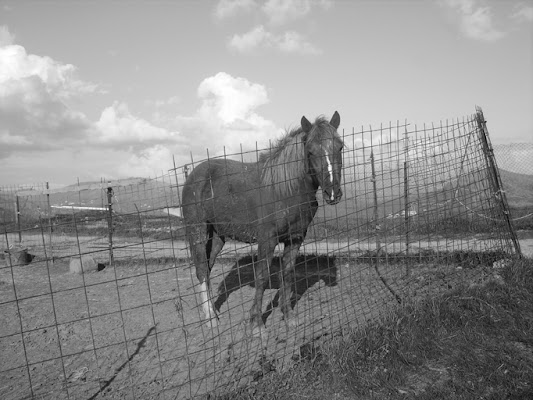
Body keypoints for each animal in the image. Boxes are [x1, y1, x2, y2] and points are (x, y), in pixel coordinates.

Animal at [181, 111, 342, 336]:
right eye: (310, 151)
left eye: (340, 147)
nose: (333, 193)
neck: (285, 190)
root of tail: (194, 175)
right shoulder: (267, 240)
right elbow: (262, 276)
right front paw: (257, 324)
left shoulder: (295, 238)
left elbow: (287, 274)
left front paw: (289, 317)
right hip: (198, 231)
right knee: (202, 270)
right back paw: (211, 319)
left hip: (218, 237)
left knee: (207, 267)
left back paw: (212, 312)